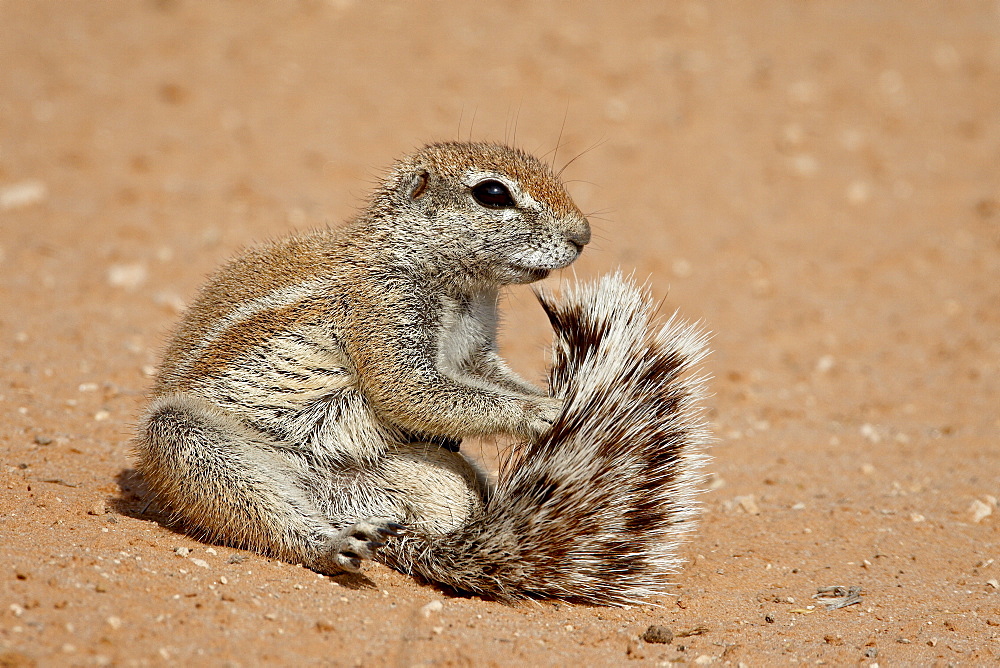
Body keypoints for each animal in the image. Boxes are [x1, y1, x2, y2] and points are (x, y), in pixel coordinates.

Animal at [135, 141, 712, 604]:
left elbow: (480, 380)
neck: (457, 286)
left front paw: (543, 396)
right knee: (263, 511)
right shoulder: (383, 311)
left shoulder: (475, 351)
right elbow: (412, 390)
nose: (583, 235)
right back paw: (330, 544)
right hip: (186, 438)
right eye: (493, 194)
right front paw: (542, 412)